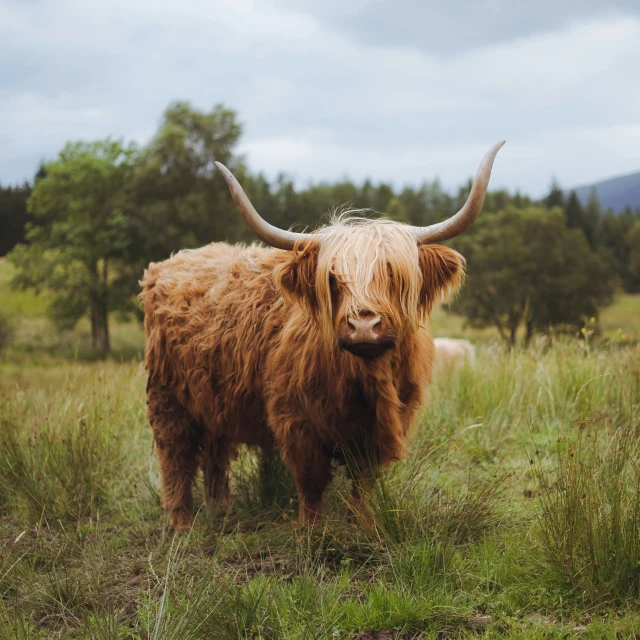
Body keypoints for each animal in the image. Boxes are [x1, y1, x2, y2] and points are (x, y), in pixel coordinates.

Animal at [140, 140, 504, 528]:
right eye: (332, 277)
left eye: (393, 273)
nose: (363, 326)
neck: (365, 382)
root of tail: (173, 261)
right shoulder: (298, 424)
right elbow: (312, 484)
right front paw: (313, 533)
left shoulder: (380, 429)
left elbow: (363, 484)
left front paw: (363, 524)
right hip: (168, 397)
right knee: (175, 457)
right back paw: (182, 524)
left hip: (213, 399)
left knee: (216, 452)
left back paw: (218, 511)